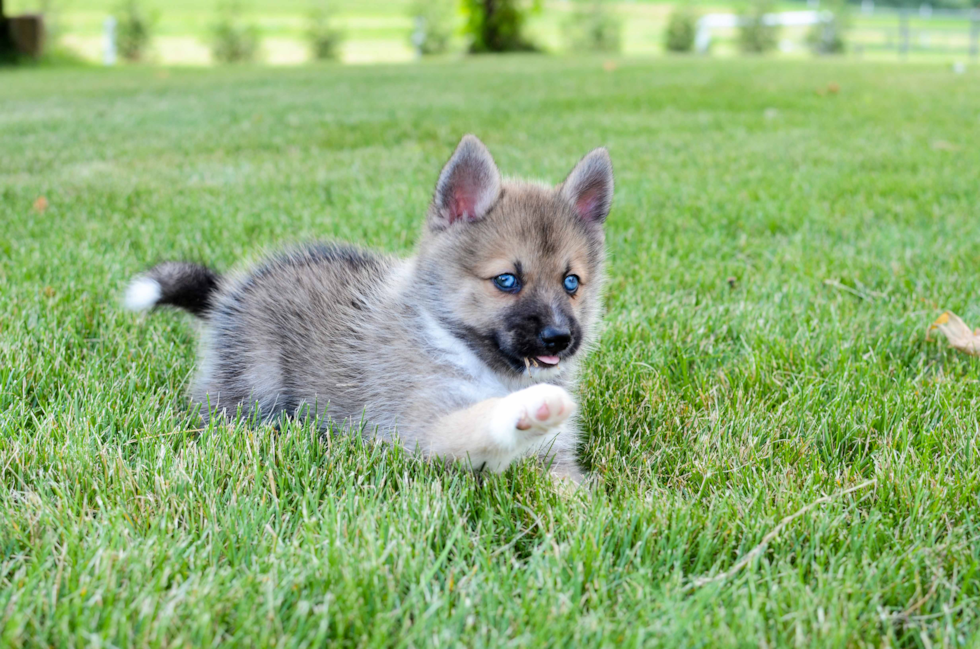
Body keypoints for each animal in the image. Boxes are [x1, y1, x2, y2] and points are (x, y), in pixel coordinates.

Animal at [124, 135, 612, 480]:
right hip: (250, 387)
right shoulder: (422, 430)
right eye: (507, 280)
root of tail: (227, 292)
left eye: (571, 282)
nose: (559, 338)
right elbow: (479, 423)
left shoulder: (556, 460)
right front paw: (528, 410)